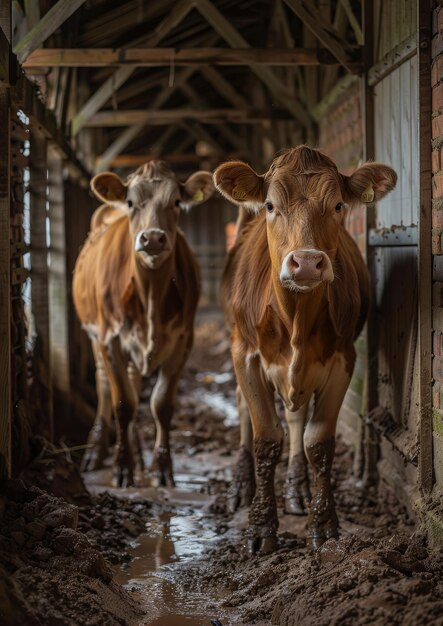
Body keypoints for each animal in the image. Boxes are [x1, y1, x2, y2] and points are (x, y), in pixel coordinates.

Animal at [73, 158, 215, 486]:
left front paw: (161, 468)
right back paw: (96, 451)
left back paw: (138, 453)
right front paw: (121, 468)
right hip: (95, 336)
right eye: (130, 203)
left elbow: (160, 405)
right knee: (105, 385)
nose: (152, 238)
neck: (150, 292)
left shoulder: (183, 341)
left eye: (176, 202)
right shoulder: (110, 340)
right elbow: (122, 404)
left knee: (134, 385)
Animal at [213, 146, 398, 552]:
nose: (308, 263)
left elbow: (318, 442)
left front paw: (323, 522)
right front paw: (261, 526)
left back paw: (296, 489)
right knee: (243, 412)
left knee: (296, 417)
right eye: (270, 205)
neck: (295, 317)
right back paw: (241, 487)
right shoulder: (246, 356)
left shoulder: (343, 358)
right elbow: (266, 437)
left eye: (339, 205)